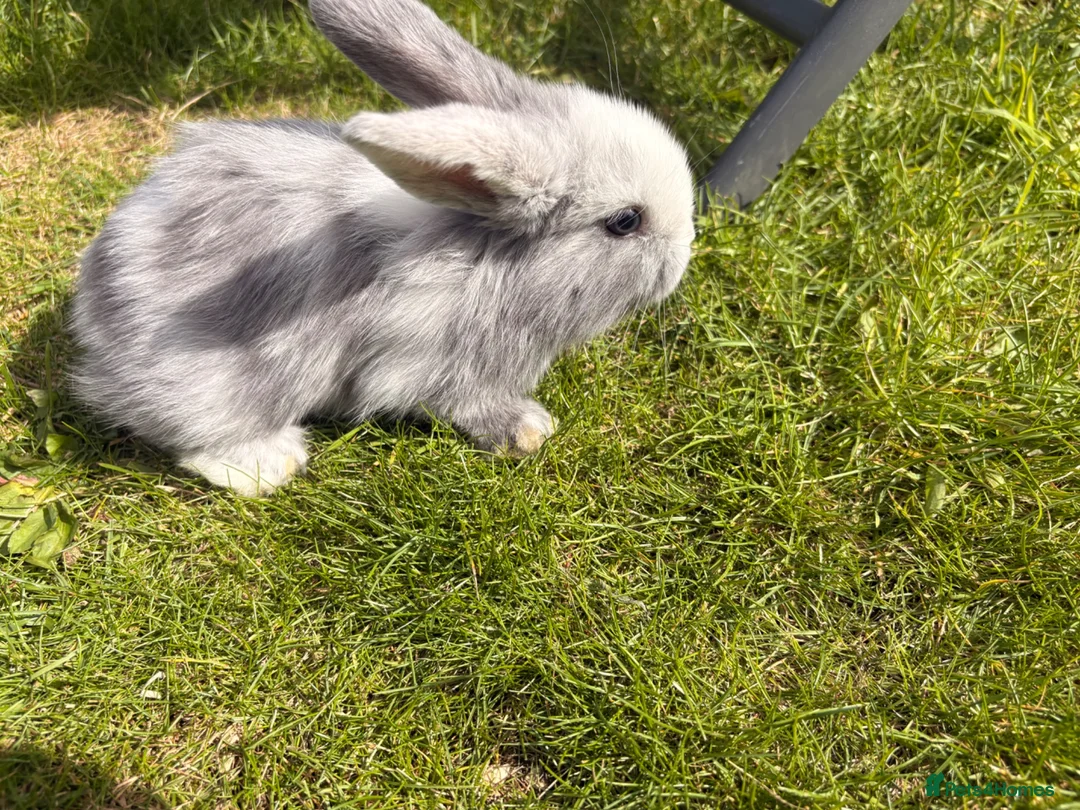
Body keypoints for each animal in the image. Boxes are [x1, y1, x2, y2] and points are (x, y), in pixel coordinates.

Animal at [70, 0, 696, 496]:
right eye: (624, 221)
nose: (682, 258)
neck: (486, 255)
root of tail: (96, 311)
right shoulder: (432, 360)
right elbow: (463, 402)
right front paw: (527, 431)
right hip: (224, 379)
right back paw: (271, 463)